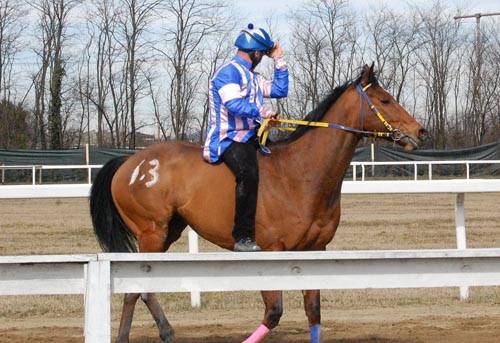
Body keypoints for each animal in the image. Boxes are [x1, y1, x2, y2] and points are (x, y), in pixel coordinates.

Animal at [89, 63, 426, 342]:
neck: (300, 174)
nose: (419, 131)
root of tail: (128, 162)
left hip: (168, 231)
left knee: (136, 290)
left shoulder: (315, 249)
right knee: (140, 289)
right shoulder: (270, 251)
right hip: (152, 231)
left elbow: (313, 312)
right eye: (385, 100)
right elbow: (274, 313)